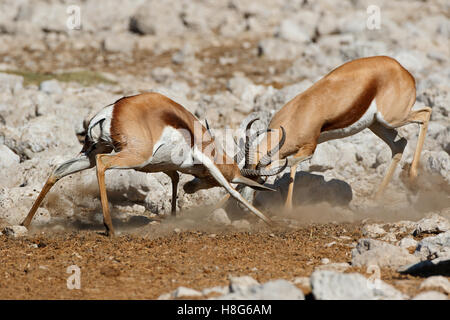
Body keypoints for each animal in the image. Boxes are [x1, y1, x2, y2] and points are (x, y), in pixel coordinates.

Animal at [21, 91, 284, 236]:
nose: (192, 187)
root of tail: (111, 111)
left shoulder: (165, 165)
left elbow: (175, 179)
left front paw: (175, 218)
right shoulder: (205, 161)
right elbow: (230, 189)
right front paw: (272, 222)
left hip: (91, 151)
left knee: (59, 169)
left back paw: (25, 223)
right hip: (129, 156)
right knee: (103, 165)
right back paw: (109, 227)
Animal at [239, 55, 432, 210]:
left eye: (259, 180)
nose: (245, 203)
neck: (297, 115)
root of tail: (402, 69)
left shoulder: (309, 148)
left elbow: (292, 164)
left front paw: (287, 210)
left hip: (393, 119)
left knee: (425, 114)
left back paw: (413, 178)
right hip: (376, 124)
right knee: (399, 144)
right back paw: (376, 199)